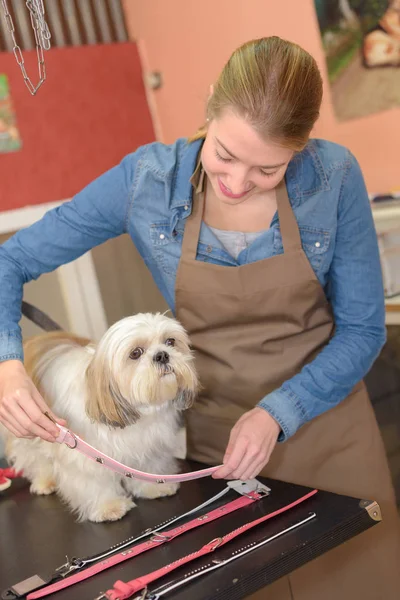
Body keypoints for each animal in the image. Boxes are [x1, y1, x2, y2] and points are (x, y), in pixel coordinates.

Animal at [1, 314, 198, 520]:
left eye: (170, 341)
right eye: (135, 353)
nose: (162, 355)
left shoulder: (150, 444)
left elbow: (149, 468)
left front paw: (152, 488)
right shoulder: (85, 455)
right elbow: (93, 482)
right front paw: (108, 506)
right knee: (34, 457)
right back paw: (44, 481)